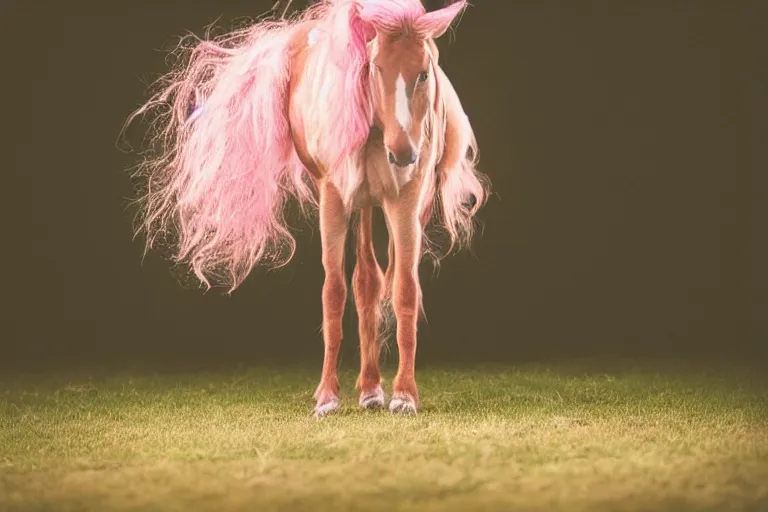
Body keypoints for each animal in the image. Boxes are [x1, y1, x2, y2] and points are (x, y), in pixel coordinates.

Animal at [123, 0, 488, 416]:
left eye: (425, 72)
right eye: (376, 67)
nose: (403, 152)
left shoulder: (406, 200)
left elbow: (405, 291)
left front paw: (405, 395)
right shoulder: (332, 196)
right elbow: (333, 291)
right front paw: (328, 396)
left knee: (373, 280)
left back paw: (373, 387)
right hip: (353, 201)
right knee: (363, 280)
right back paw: (368, 388)